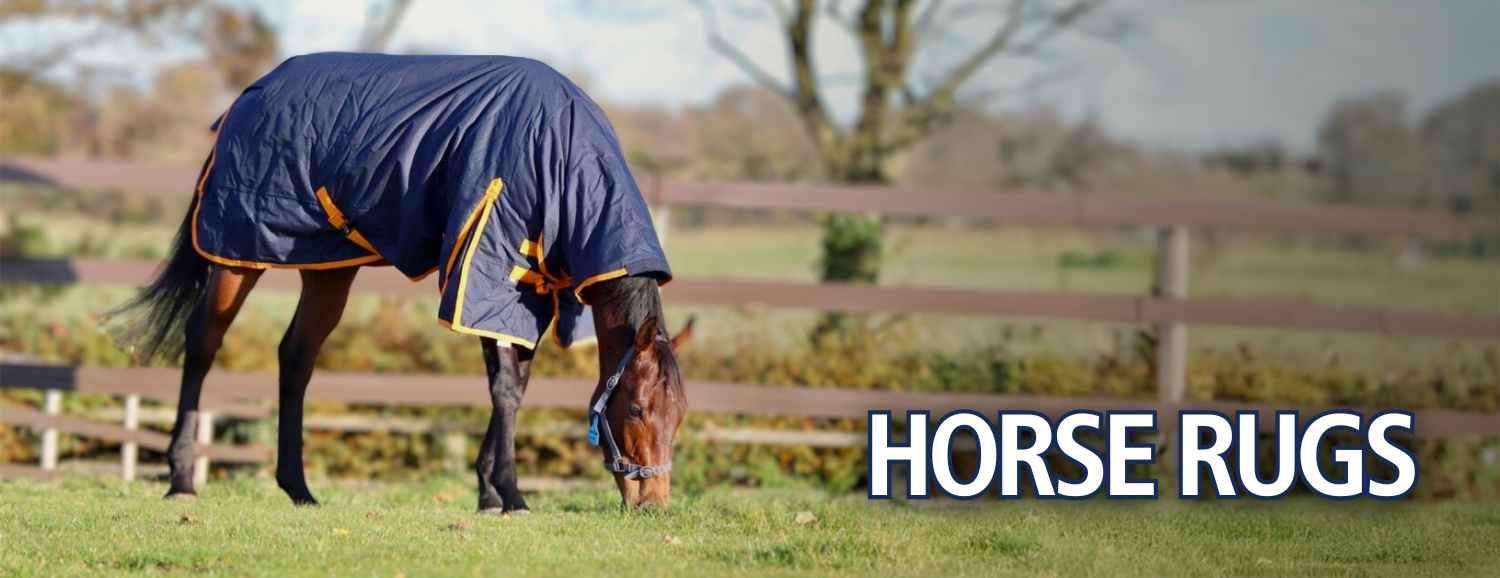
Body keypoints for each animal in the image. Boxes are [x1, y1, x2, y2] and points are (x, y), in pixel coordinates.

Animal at [102, 53, 690, 512]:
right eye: (635, 409)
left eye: (680, 414)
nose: (653, 504)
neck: (560, 154)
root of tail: (244, 100)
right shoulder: (480, 265)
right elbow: (503, 387)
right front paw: (510, 495)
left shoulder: (535, 291)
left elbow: (516, 386)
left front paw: (487, 492)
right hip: (238, 254)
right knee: (203, 343)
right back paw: (181, 479)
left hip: (328, 266)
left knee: (296, 356)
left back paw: (299, 489)